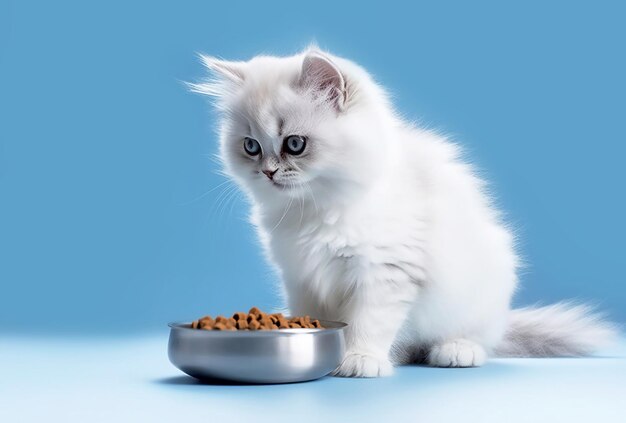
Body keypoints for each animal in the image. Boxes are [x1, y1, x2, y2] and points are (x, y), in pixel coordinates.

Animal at [191, 46, 616, 378]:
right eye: (250, 147)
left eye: (294, 144)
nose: (267, 171)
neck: (316, 206)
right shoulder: (301, 278)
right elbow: (314, 315)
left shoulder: (384, 272)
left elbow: (367, 322)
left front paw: (359, 359)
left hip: (483, 292)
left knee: (474, 340)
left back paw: (456, 351)